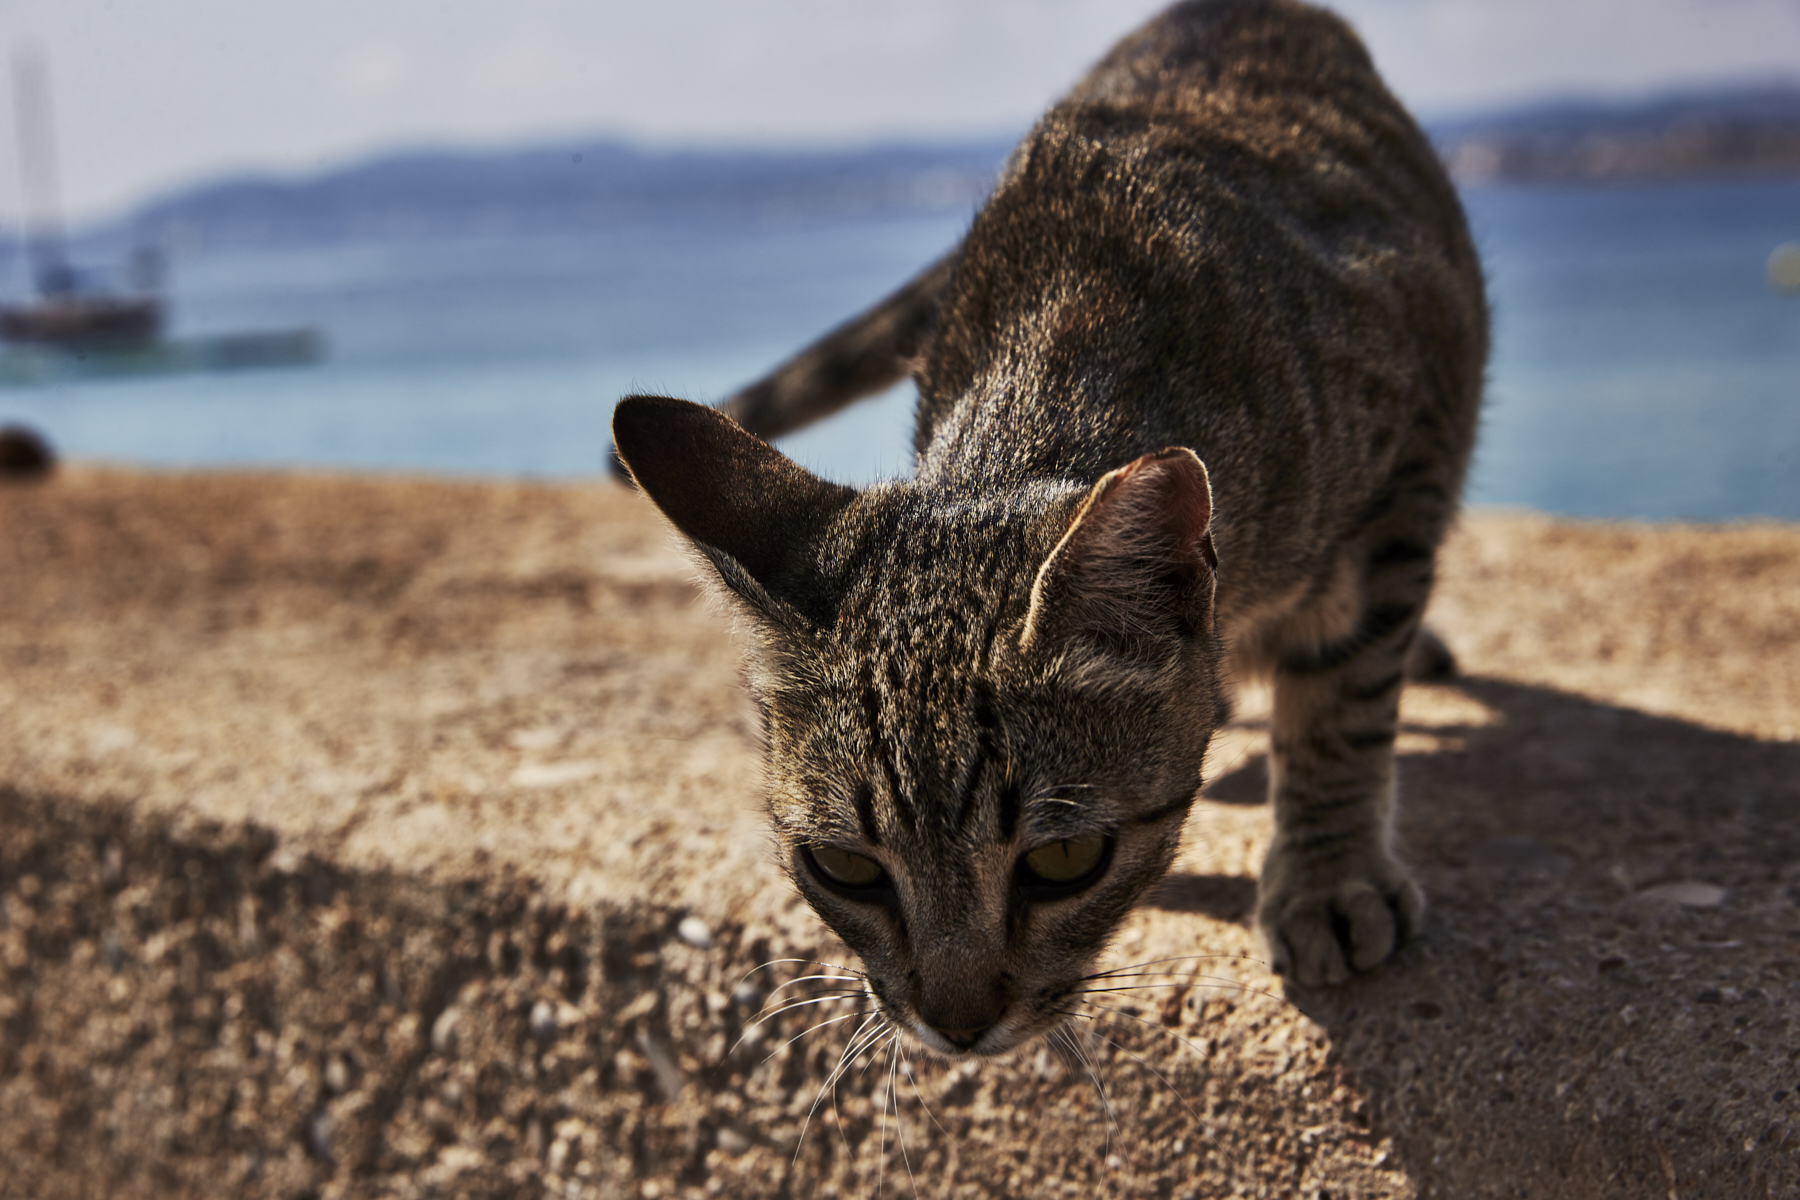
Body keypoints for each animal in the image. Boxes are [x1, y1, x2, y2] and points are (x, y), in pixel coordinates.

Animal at [612, 0, 1483, 1050]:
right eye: (845, 869)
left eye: (1066, 861)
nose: (954, 1025)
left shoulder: (1403, 470)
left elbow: (1342, 705)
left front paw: (1328, 877)